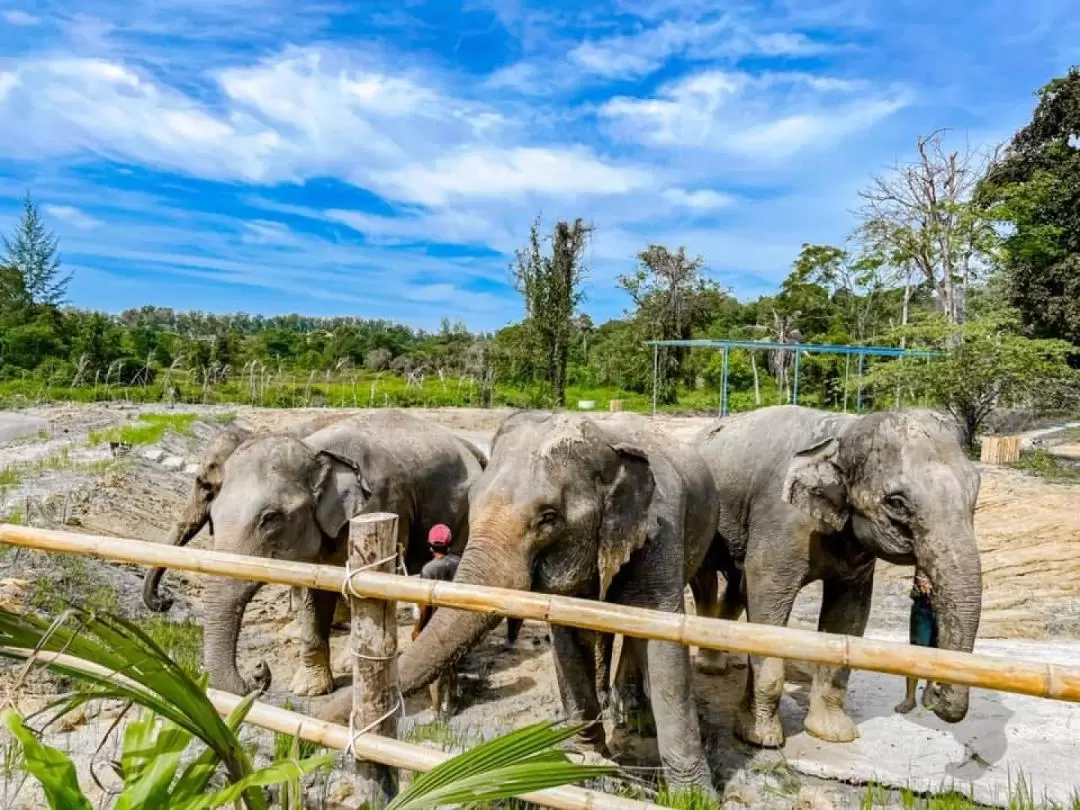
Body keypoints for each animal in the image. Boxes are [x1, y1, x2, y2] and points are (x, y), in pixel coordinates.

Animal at [201, 408, 486, 699]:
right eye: (213, 515)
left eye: (270, 518)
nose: (259, 671)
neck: (316, 451)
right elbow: (314, 594)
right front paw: (308, 689)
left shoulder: (384, 505)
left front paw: (351, 663)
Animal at [319, 412, 725, 799]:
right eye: (472, 503)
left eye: (549, 518)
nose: (316, 716)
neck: (606, 443)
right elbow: (567, 639)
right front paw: (587, 763)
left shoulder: (662, 530)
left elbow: (665, 644)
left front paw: (695, 796)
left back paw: (630, 713)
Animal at [691, 408, 980, 751]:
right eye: (896, 502)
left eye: (975, 491)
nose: (934, 694)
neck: (844, 430)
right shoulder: (780, 520)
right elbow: (767, 597)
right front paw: (760, 737)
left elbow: (848, 615)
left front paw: (834, 733)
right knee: (707, 581)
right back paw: (709, 666)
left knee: (736, 584)